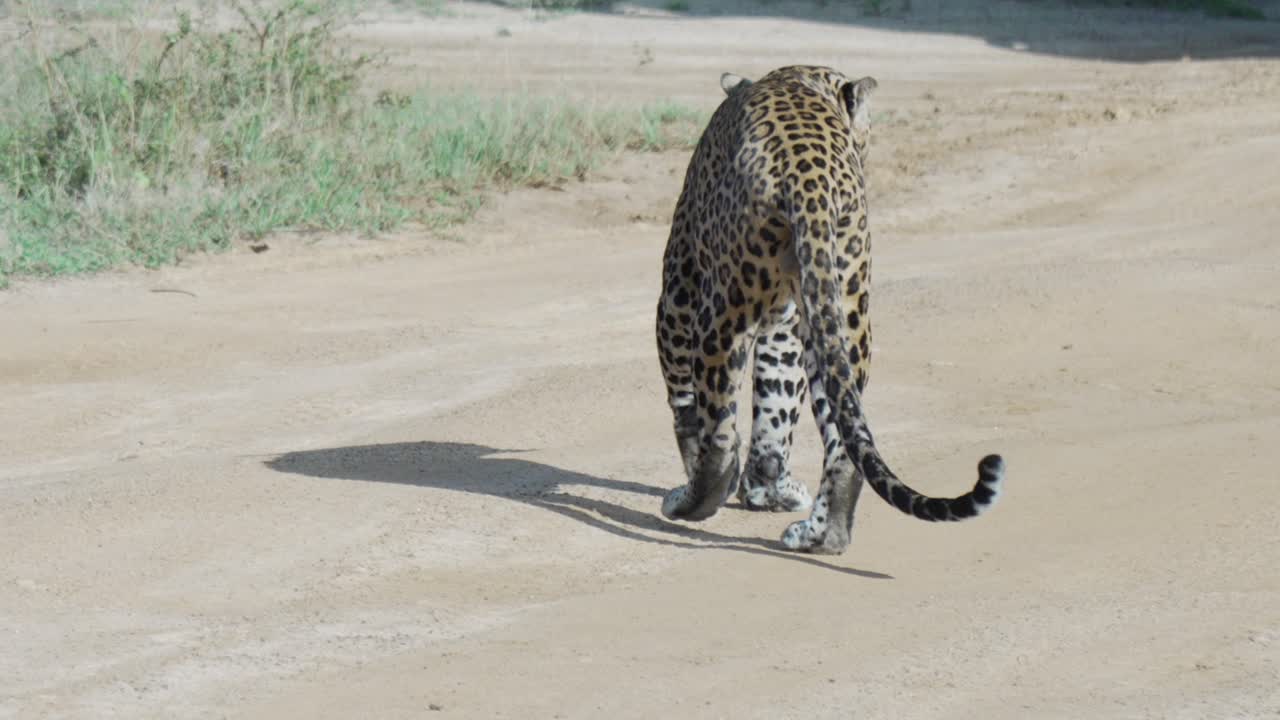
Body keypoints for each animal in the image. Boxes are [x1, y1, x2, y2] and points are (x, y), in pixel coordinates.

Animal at [654, 65, 1005, 555]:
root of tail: (809, 181)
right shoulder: (789, 320)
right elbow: (777, 406)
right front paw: (770, 489)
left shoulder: (678, 289)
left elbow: (687, 405)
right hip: (844, 311)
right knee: (844, 441)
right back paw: (824, 534)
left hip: (722, 312)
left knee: (720, 430)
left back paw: (694, 500)